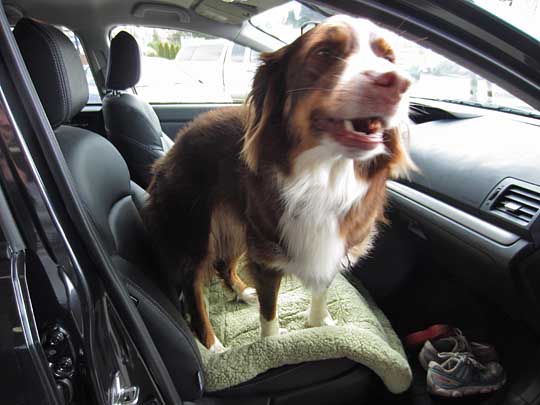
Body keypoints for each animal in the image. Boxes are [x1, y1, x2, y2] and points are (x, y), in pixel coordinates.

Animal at [143, 15, 414, 350]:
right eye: (324, 52)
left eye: (388, 58)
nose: (398, 83)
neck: (325, 175)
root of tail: (175, 145)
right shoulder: (267, 255)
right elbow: (269, 311)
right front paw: (272, 342)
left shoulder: (334, 242)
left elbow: (322, 286)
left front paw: (319, 322)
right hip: (195, 226)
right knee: (192, 281)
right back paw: (212, 343)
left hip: (236, 224)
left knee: (225, 262)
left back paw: (242, 290)